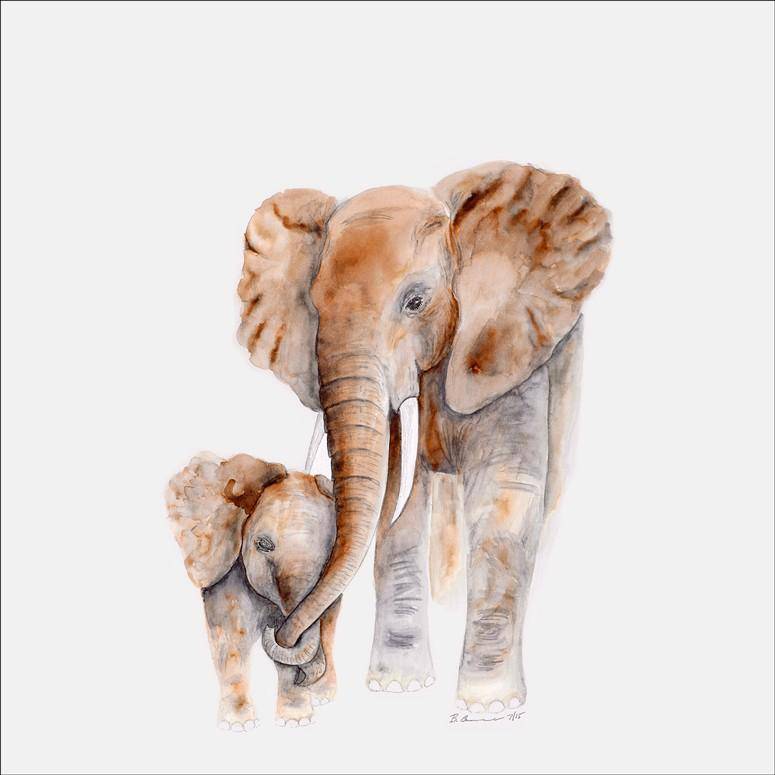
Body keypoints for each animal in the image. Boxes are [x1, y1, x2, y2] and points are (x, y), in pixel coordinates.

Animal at [166, 452, 340, 729]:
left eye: (329, 556)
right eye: (263, 544)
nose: (305, 678)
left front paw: (296, 720)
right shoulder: (227, 565)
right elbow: (230, 633)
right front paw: (239, 725)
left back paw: (323, 696)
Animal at [236, 161, 611, 712]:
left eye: (415, 302)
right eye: (314, 306)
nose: (282, 636)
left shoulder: (515, 351)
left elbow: (506, 496)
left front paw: (487, 707)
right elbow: (397, 506)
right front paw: (398, 686)